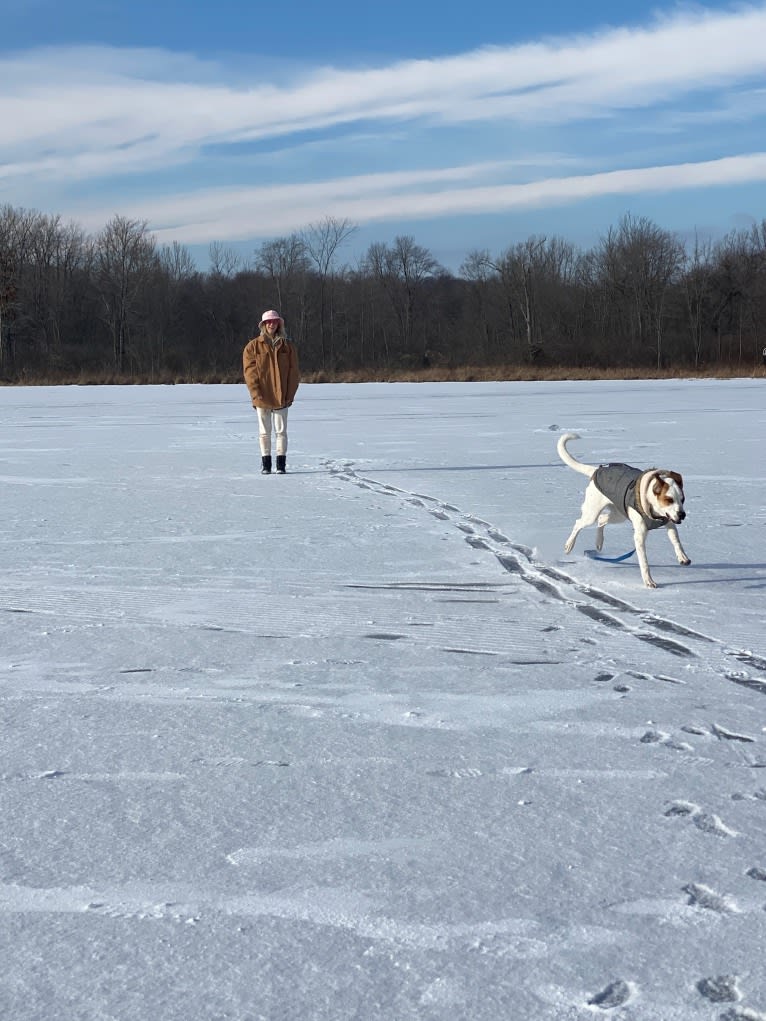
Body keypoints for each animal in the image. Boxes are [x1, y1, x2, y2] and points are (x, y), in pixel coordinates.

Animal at [559, 432, 690, 592]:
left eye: (682, 499)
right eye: (669, 499)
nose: (682, 514)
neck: (654, 512)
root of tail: (596, 470)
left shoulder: (669, 521)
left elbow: (676, 540)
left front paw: (682, 557)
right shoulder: (640, 535)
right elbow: (644, 562)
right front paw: (648, 581)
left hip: (618, 513)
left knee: (602, 519)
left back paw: (599, 543)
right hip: (592, 512)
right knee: (579, 523)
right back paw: (569, 545)